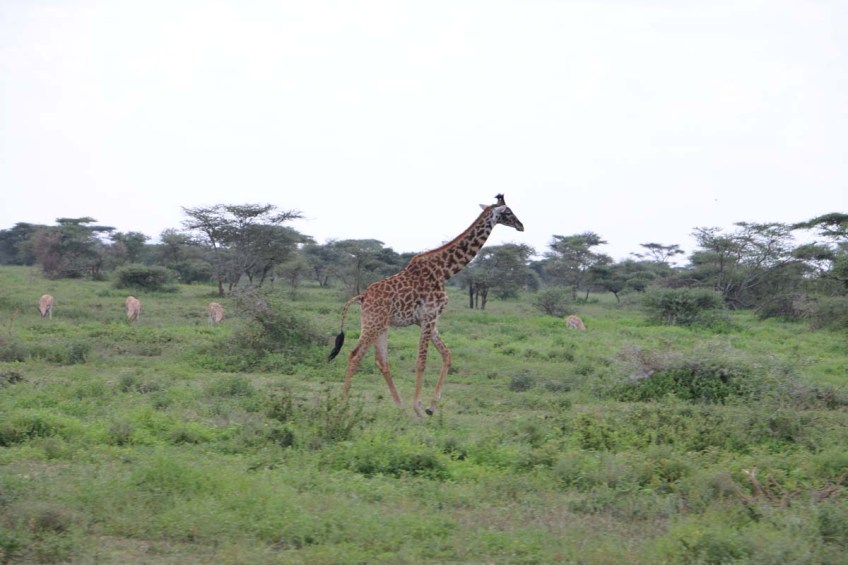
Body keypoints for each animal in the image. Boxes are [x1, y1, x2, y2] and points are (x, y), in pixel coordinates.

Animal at [328, 194, 524, 417]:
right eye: (508, 212)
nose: (521, 225)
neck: (445, 271)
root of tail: (362, 296)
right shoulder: (429, 315)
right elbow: (421, 361)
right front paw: (419, 408)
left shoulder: (428, 319)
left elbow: (447, 355)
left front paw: (431, 406)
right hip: (373, 323)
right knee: (355, 355)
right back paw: (342, 403)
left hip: (381, 325)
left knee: (381, 361)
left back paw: (399, 406)